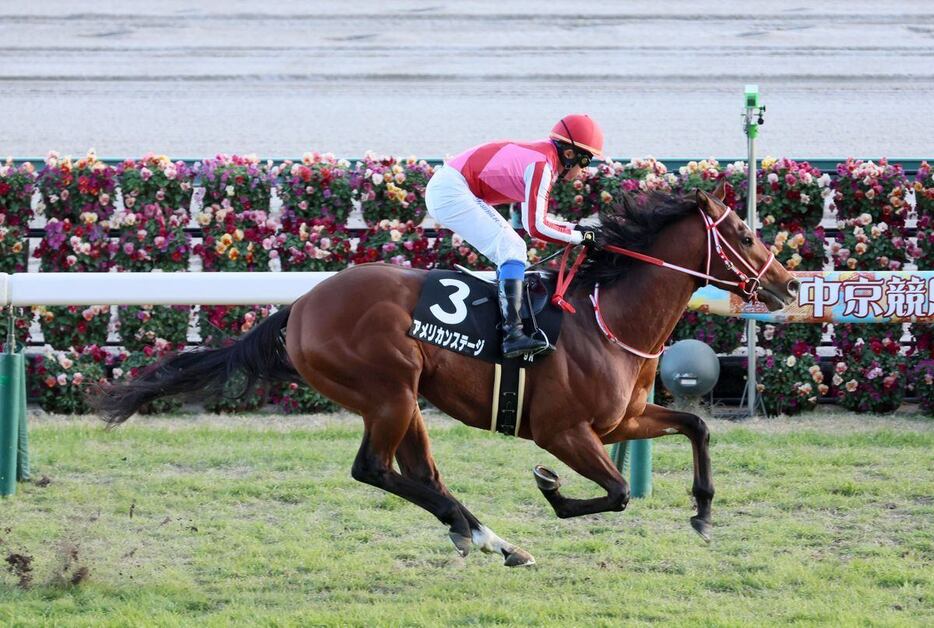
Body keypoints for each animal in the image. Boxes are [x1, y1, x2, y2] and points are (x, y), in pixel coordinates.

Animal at [93, 179, 796, 568]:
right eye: (742, 234)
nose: (788, 285)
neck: (607, 317)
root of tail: (301, 306)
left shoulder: (622, 420)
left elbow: (697, 425)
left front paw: (702, 512)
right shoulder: (564, 431)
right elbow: (619, 491)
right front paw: (550, 489)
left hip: (405, 400)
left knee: (418, 473)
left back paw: (491, 539)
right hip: (387, 391)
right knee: (373, 470)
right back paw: (480, 532)